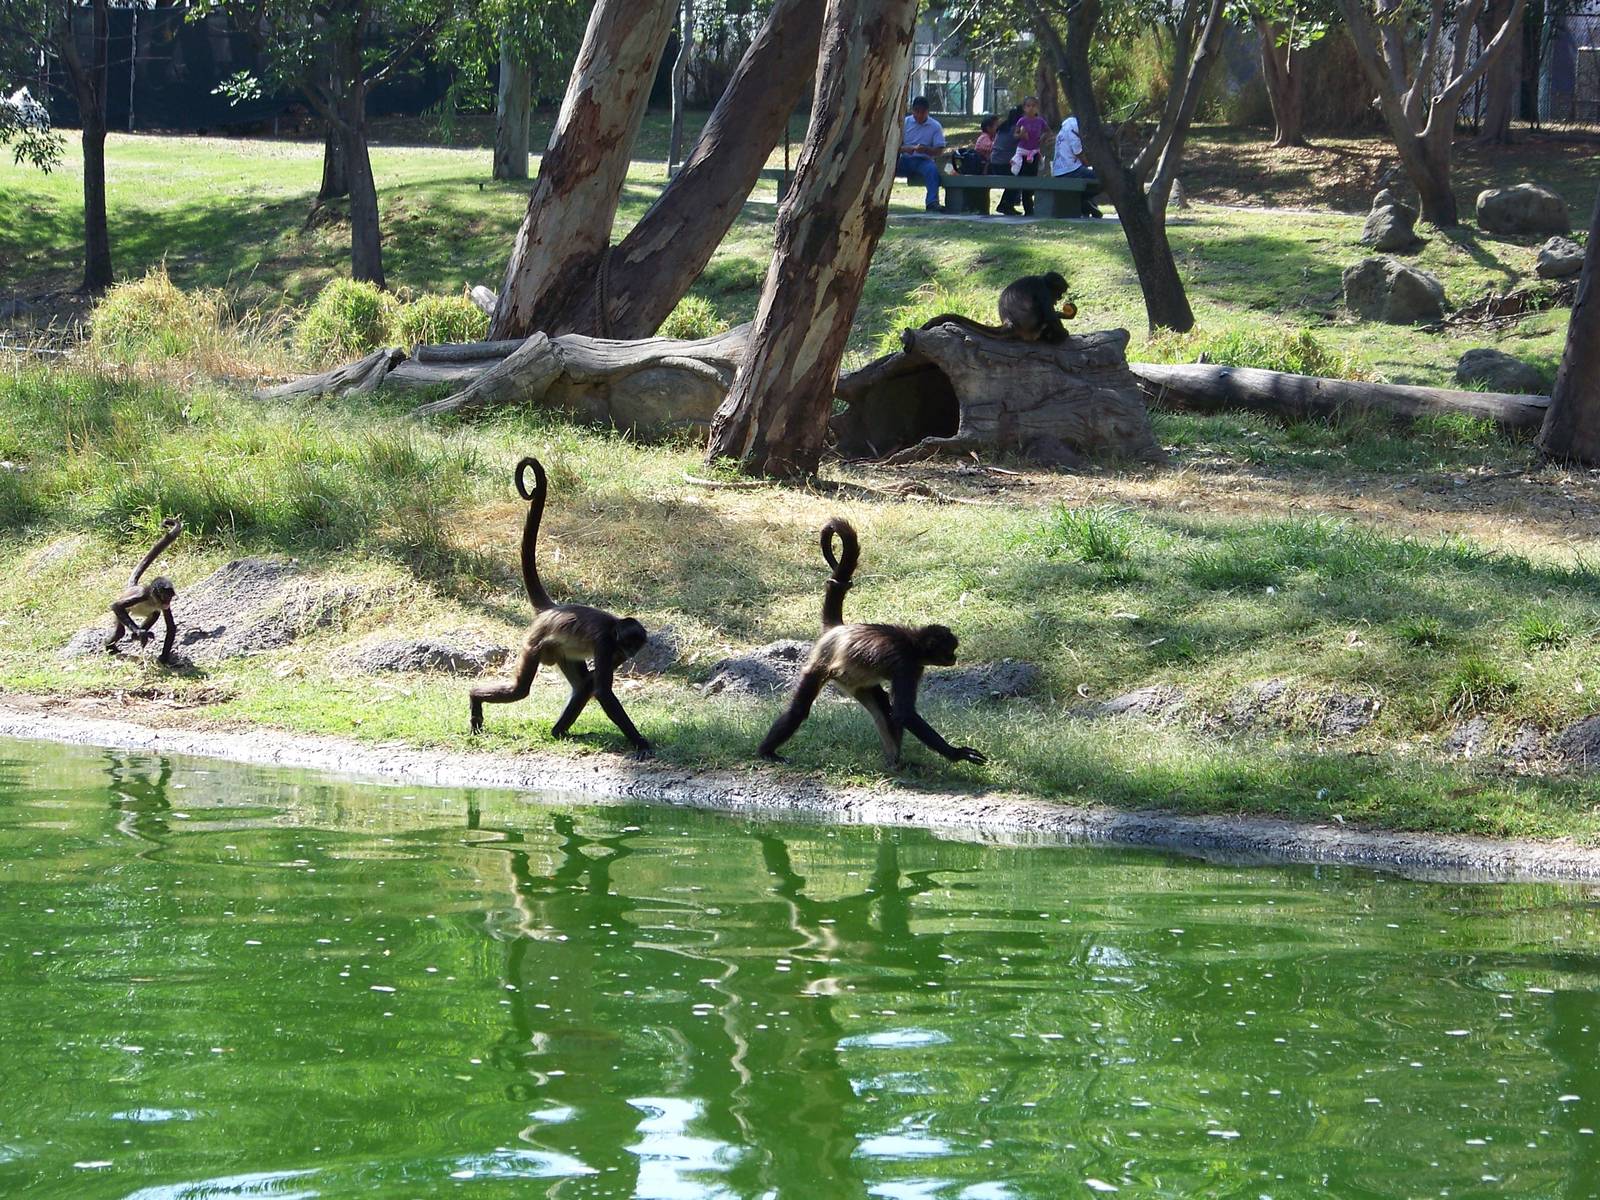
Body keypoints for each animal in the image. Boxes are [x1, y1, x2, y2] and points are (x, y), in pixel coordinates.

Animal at [105, 516, 183, 665]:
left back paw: (135, 636)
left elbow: (171, 628)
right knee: (119, 632)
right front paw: (140, 633)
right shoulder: (143, 595)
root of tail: (133, 587)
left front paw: (164, 659)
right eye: (165, 596)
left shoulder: (163, 606)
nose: (167, 603)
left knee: (155, 613)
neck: (153, 600)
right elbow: (116, 606)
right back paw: (111, 646)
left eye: (170, 597)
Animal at [469, 457, 653, 757]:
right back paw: (475, 696)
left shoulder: (613, 650)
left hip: (561, 651)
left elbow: (591, 686)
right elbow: (602, 692)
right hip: (534, 644)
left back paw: (558, 732)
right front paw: (640, 742)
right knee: (520, 689)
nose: (630, 652)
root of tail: (551, 610)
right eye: (628, 643)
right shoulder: (606, 643)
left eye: (635, 646)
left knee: (581, 685)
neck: (614, 627)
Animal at [757, 518, 987, 771]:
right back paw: (766, 752)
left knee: (883, 707)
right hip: (820, 664)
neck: (912, 643)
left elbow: (895, 713)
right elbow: (904, 714)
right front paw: (956, 753)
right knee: (798, 710)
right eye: (950, 650)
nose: (955, 658)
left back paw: (894, 763)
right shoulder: (907, 665)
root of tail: (838, 629)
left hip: (858, 682)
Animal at [917, 271, 1075, 344]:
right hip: (1034, 325)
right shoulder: (1042, 289)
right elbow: (1049, 315)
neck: (1042, 279)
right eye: (1059, 293)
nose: (1058, 299)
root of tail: (1009, 323)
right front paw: (1063, 331)